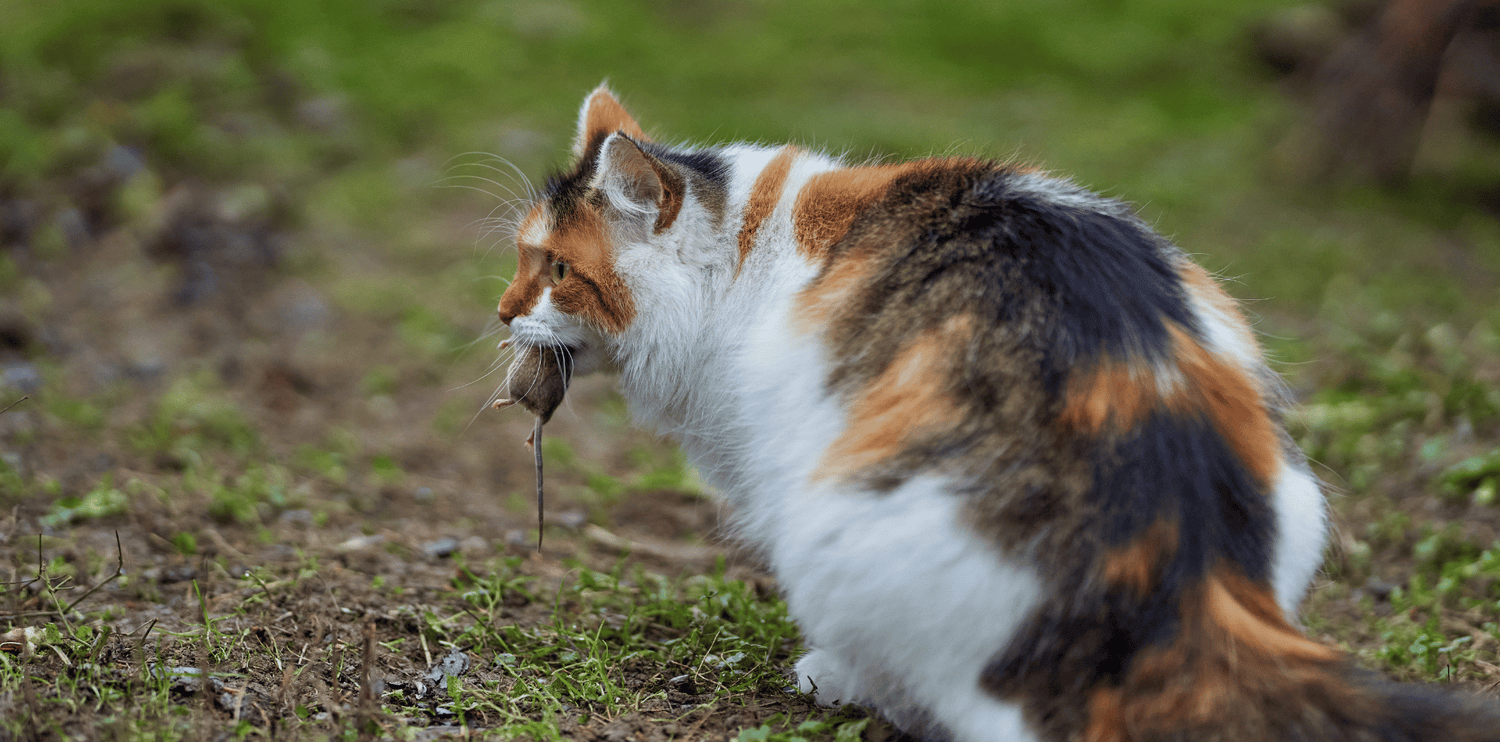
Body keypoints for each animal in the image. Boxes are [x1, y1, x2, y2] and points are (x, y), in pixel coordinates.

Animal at [495, 86, 1500, 742]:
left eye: (555, 269)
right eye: (521, 261)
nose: (502, 314)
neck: (747, 249)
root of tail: (1185, 571)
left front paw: (827, 673)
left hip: (837, 534)